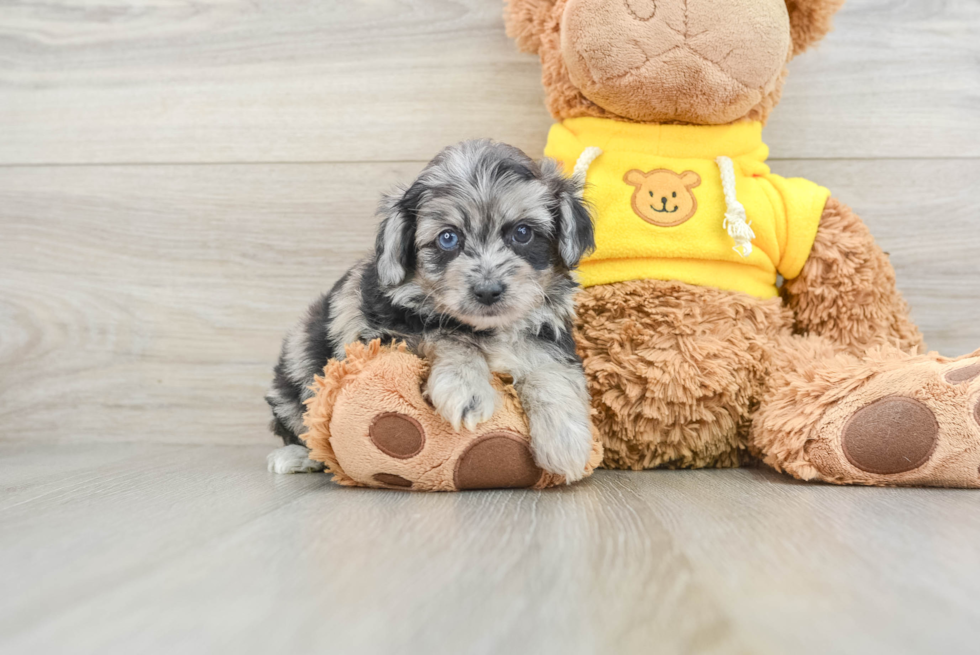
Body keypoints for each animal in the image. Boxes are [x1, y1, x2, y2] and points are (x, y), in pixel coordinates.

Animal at [264, 141, 592, 482]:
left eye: (523, 233)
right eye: (448, 237)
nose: (488, 291)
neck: (486, 328)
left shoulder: (547, 334)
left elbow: (548, 368)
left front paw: (565, 438)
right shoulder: (383, 336)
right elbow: (447, 335)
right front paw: (467, 388)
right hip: (297, 367)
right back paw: (295, 456)